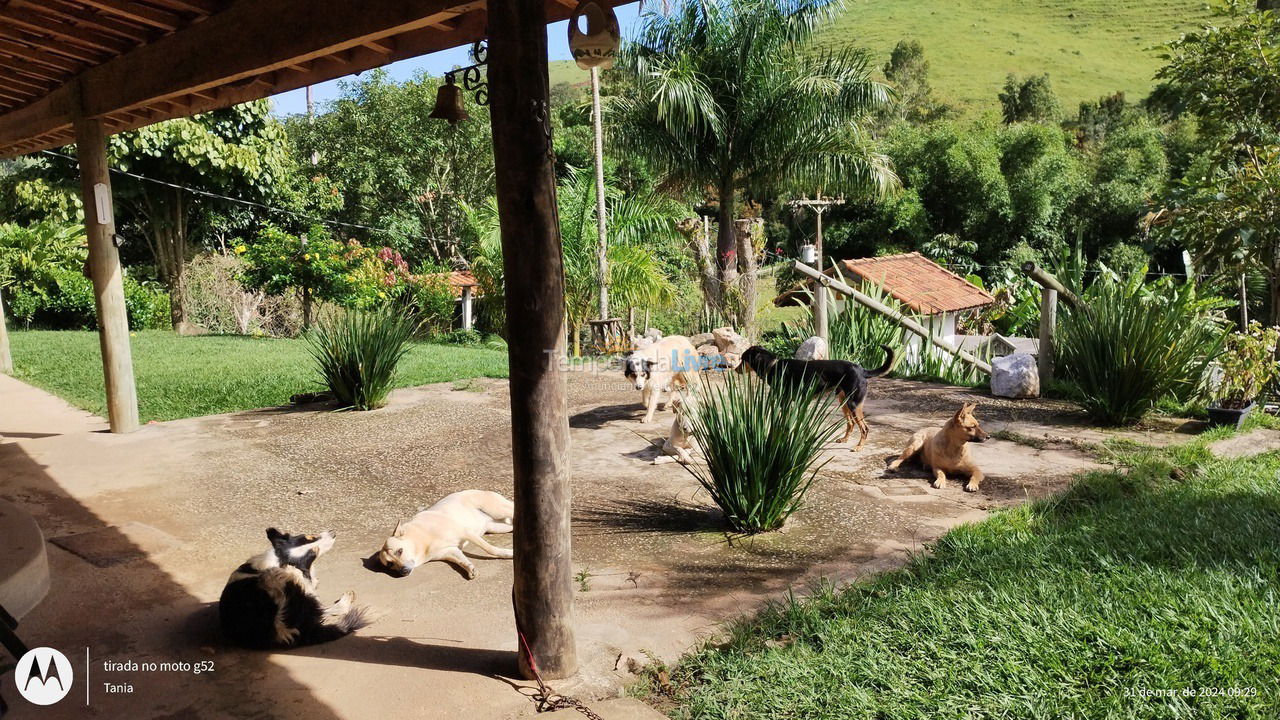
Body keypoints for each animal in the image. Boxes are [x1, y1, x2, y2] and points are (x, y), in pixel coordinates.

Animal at [218, 525, 371, 648]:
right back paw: (346, 598)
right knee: (327, 609)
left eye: (310, 537)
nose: (333, 532)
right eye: (314, 551)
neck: (278, 560)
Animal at [373, 486, 512, 576]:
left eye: (400, 551)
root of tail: (480, 490)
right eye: (389, 564)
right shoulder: (450, 551)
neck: (422, 540)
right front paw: (470, 568)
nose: (403, 572)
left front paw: (509, 553)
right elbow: (461, 560)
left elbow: (490, 549)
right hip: (497, 527)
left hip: (499, 510)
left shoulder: (466, 532)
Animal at [737, 345, 896, 450]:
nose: (735, 369)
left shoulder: (785, 402)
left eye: (743, 359)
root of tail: (862, 370)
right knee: (850, 424)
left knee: (865, 428)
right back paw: (845, 440)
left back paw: (859, 447)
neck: (773, 366)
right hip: (844, 401)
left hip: (853, 404)